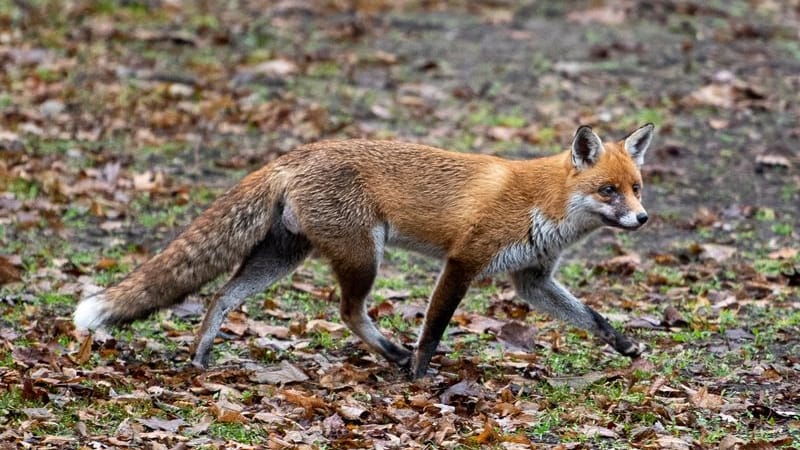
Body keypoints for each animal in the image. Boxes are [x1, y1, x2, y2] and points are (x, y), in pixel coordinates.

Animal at [73, 124, 656, 380]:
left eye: (637, 188)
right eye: (609, 191)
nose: (642, 219)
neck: (544, 203)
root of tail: (296, 154)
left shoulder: (531, 279)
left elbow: (593, 317)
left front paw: (625, 345)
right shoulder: (464, 260)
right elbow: (433, 328)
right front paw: (419, 375)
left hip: (285, 256)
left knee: (221, 296)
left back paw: (200, 356)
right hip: (363, 256)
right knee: (348, 311)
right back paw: (393, 355)